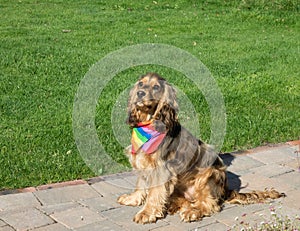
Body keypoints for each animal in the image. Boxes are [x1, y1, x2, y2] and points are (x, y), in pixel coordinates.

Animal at [116, 72, 284, 224]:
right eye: (141, 84)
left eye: (156, 87)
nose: (140, 93)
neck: (149, 123)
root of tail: (225, 190)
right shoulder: (143, 161)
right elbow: (141, 184)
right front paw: (132, 199)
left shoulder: (161, 168)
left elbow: (154, 193)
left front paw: (146, 213)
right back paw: (173, 206)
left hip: (209, 174)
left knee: (209, 203)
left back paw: (192, 212)